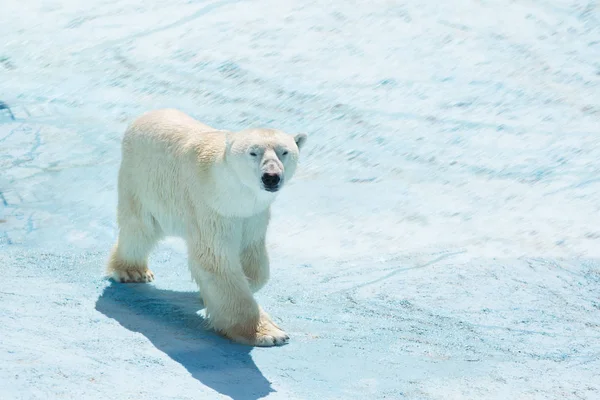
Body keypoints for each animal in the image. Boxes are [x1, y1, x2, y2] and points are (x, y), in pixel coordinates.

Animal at [105, 108, 308, 346]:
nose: (271, 177)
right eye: (253, 152)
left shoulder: (252, 214)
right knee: (139, 228)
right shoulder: (210, 206)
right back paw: (133, 271)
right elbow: (215, 260)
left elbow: (253, 265)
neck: (234, 193)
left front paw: (208, 294)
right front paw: (268, 333)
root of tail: (143, 116)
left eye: (284, 151)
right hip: (142, 180)